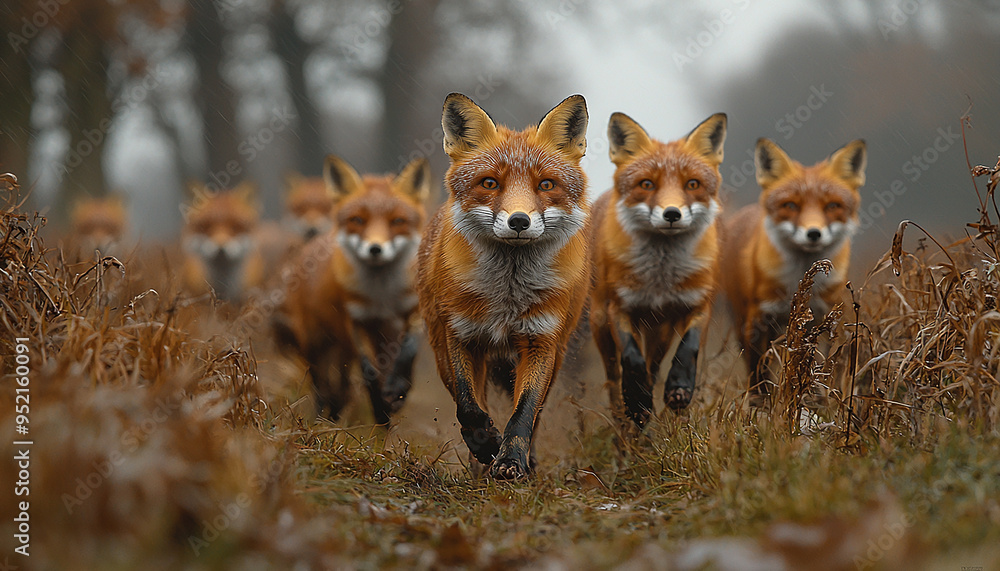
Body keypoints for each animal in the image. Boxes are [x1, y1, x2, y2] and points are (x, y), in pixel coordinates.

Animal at [275, 155, 430, 423]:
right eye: (357, 220)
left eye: (397, 221)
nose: (375, 249)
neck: (382, 296)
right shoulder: (353, 321)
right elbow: (368, 371)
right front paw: (379, 407)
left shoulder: (412, 313)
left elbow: (408, 352)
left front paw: (398, 390)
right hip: (314, 342)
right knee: (322, 384)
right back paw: (324, 417)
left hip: (374, 338)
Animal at [416, 93, 591, 479]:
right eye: (490, 183)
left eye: (546, 185)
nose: (519, 221)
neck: (507, 295)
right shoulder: (461, 336)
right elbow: (468, 407)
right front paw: (486, 446)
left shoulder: (542, 341)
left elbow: (524, 411)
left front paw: (511, 459)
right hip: (440, 348)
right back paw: (478, 464)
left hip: (557, 357)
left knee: (534, 413)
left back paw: (526, 462)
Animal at [590, 112, 728, 428]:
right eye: (646, 184)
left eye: (692, 184)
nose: (672, 214)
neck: (661, 278)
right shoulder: (619, 308)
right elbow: (631, 357)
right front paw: (637, 401)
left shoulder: (698, 305)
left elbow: (688, 349)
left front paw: (679, 388)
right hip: (599, 323)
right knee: (614, 379)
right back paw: (624, 421)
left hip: (661, 332)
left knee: (653, 367)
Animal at [720, 138, 867, 395]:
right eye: (790, 205)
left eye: (832, 206)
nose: (814, 233)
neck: (799, 279)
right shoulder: (758, 320)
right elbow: (759, 377)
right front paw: (761, 404)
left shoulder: (823, 321)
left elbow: (817, 371)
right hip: (741, 319)